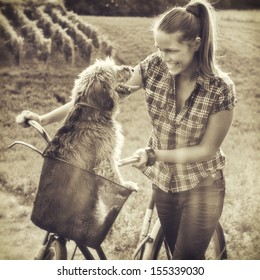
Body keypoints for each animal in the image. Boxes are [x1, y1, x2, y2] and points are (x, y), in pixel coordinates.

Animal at [31, 57, 138, 247]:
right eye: (114, 70)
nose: (132, 68)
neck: (93, 110)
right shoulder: (105, 158)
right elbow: (114, 175)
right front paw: (126, 186)